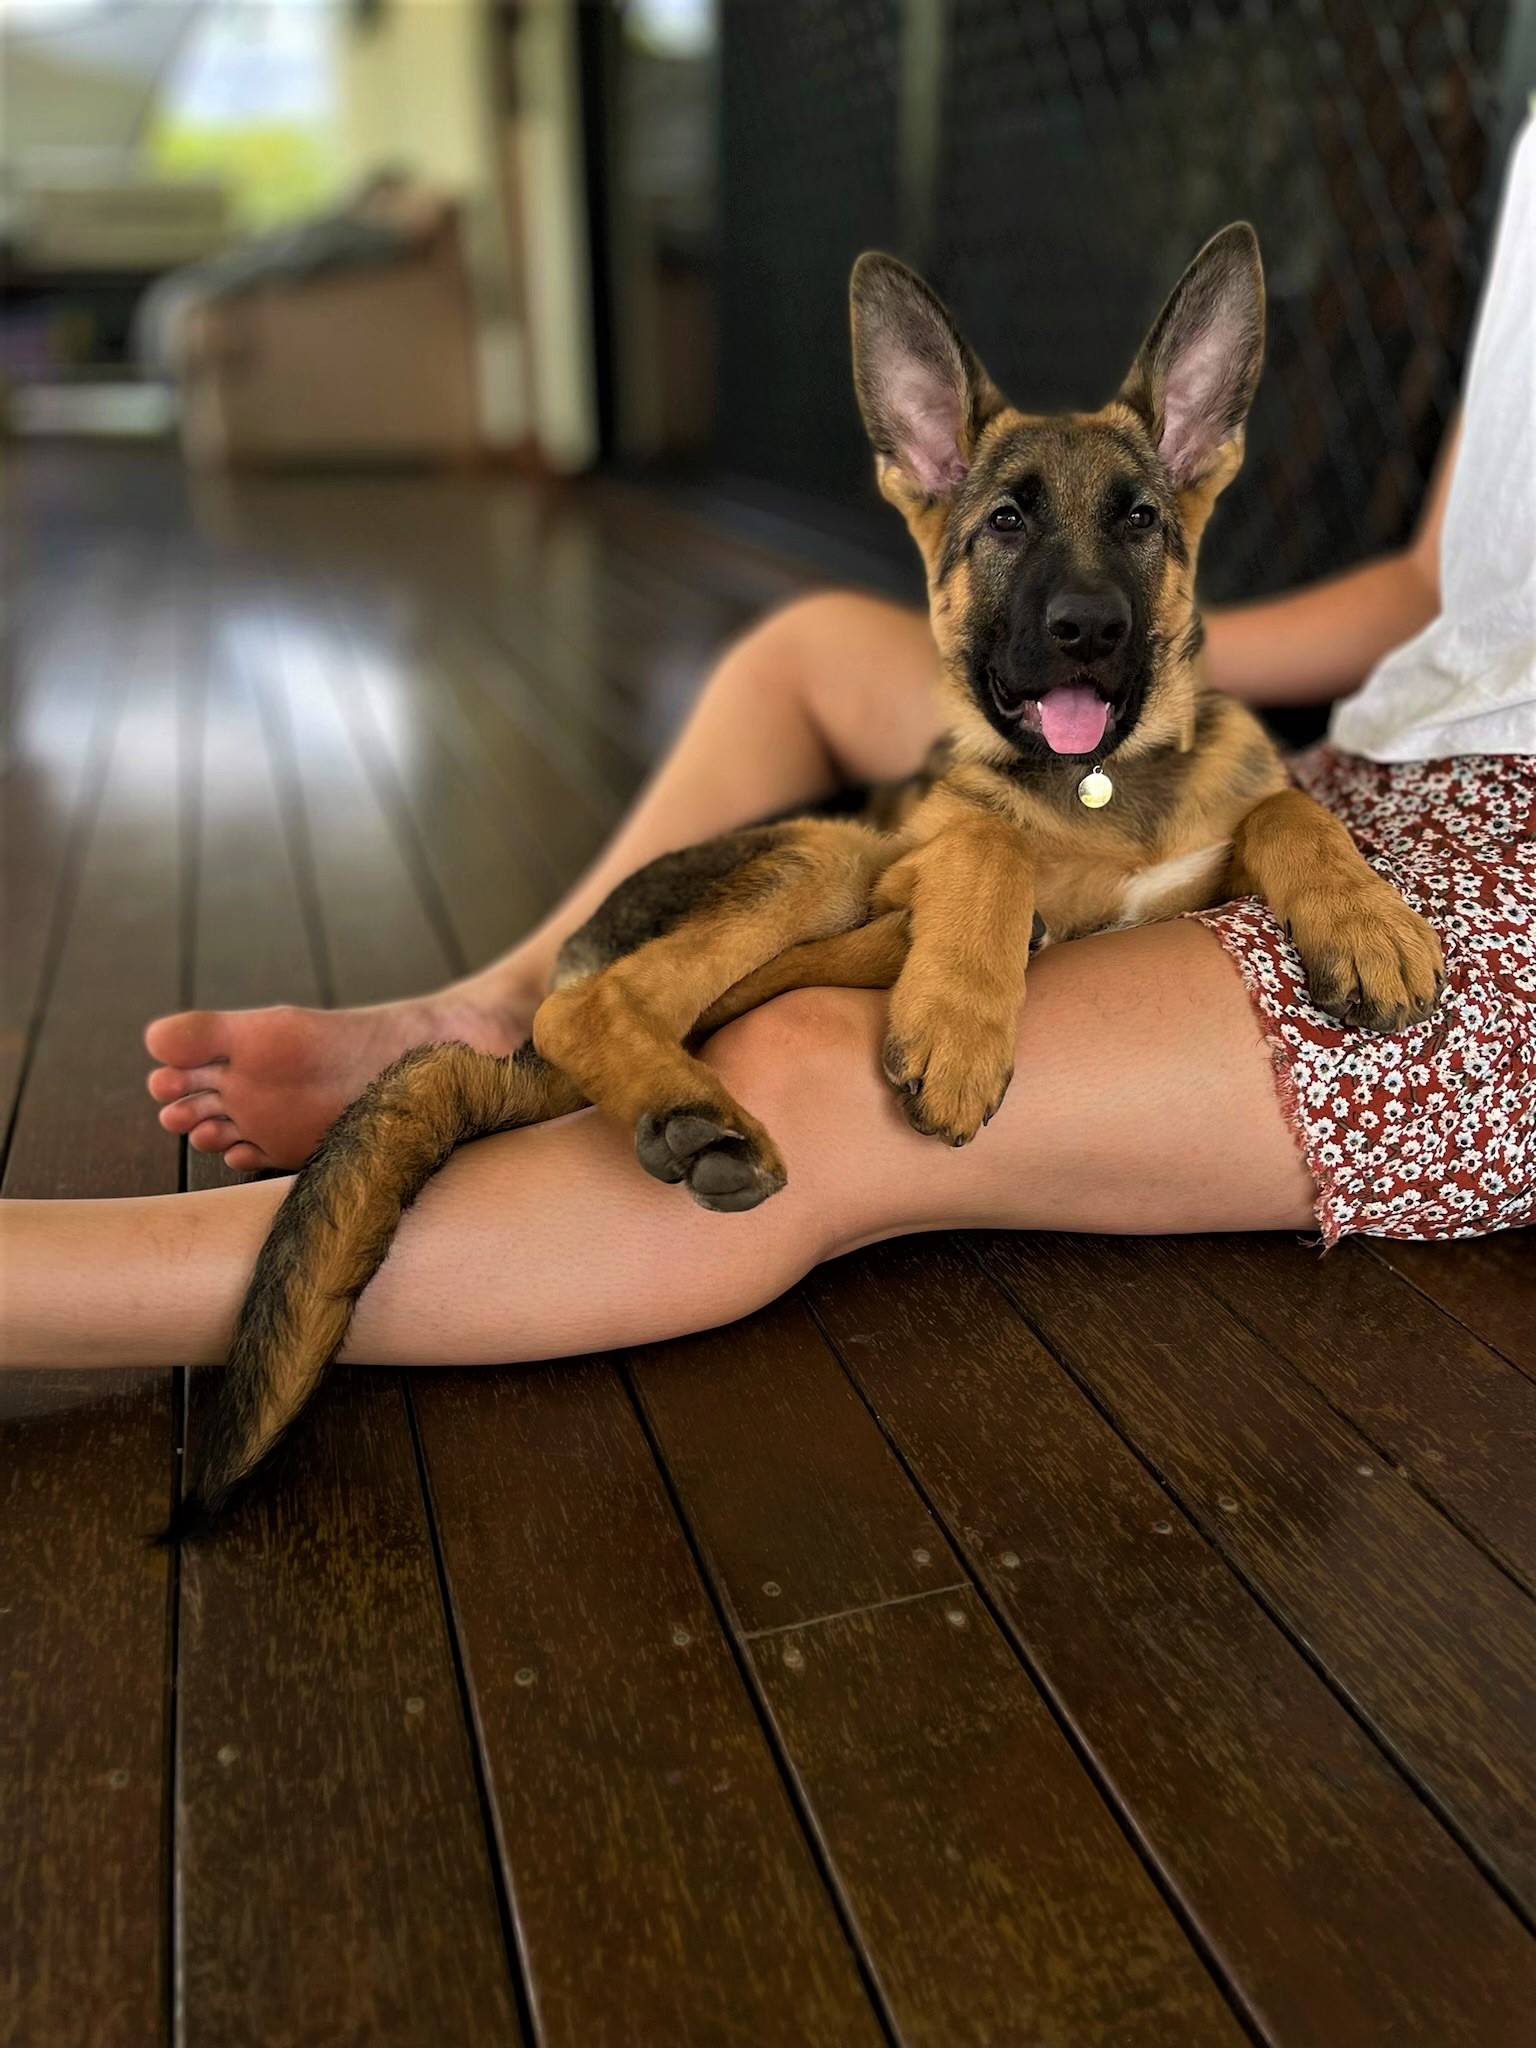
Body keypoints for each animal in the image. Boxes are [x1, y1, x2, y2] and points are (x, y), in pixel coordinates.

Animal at [165, 224, 1441, 1540]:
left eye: (1141, 518)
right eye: (1004, 523)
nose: (1088, 630)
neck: (1101, 792)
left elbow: (1286, 803)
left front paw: (1367, 922)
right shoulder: (911, 856)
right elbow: (987, 842)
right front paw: (963, 1019)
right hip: (820, 855)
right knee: (595, 1004)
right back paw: (697, 1107)